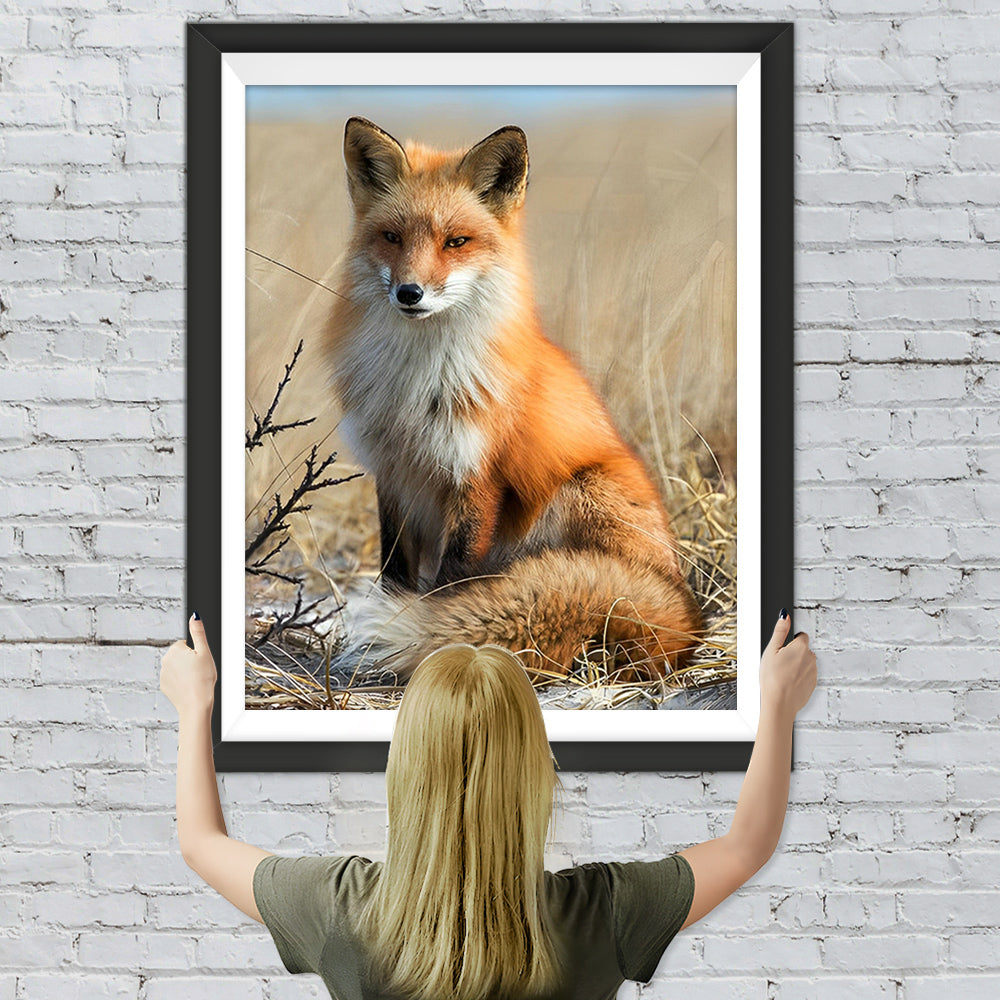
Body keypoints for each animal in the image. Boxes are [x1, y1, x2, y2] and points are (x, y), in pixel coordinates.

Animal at [320, 116, 703, 683]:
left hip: (577, 491)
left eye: (456, 241)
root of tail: (688, 620)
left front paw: (440, 641)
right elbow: (393, 569)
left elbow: (452, 580)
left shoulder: (476, 474)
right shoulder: (393, 472)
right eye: (391, 238)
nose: (409, 293)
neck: (418, 383)